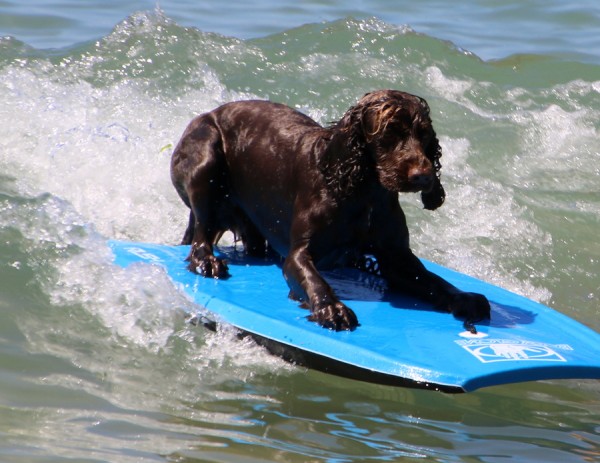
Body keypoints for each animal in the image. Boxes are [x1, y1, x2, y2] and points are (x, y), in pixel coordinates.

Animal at [170, 90, 491, 331]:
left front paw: (465, 298)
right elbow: (315, 281)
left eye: (424, 135)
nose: (424, 177)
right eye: (390, 133)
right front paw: (333, 309)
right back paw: (207, 261)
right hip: (206, 155)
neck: (363, 192)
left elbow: (435, 280)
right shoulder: (299, 254)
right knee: (200, 232)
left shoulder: (397, 258)